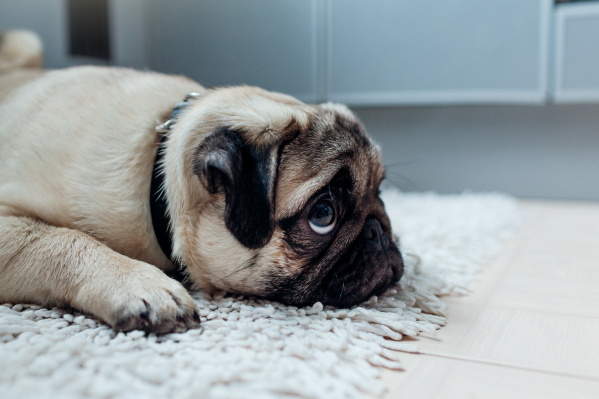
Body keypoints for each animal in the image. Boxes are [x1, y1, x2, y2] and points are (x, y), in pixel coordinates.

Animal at [1, 29, 404, 332]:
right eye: (323, 215)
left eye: (380, 193)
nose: (378, 232)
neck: (155, 173)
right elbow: (65, 240)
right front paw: (140, 283)